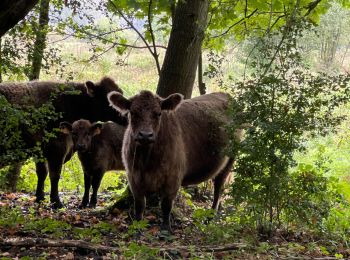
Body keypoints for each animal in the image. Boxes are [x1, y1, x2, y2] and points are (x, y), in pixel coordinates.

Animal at [0, 76, 126, 207]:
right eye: (109, 100)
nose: (128, 115)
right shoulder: (57, 148)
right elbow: (55, 175)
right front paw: (56, 201)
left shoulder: (40, 151)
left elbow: (42, 173)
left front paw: (40, 198)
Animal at [108, 90, 242, 231]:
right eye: (133, 112)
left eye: (158, 113)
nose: (145, 135)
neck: (146, 161)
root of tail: (225, 94)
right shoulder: (133, 176)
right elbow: (139, 205)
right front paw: (137, 225)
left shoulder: (173, 178)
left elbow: (166, 205)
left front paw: (166, 227)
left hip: (231, 159)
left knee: (219, 187)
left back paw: (210, 216)